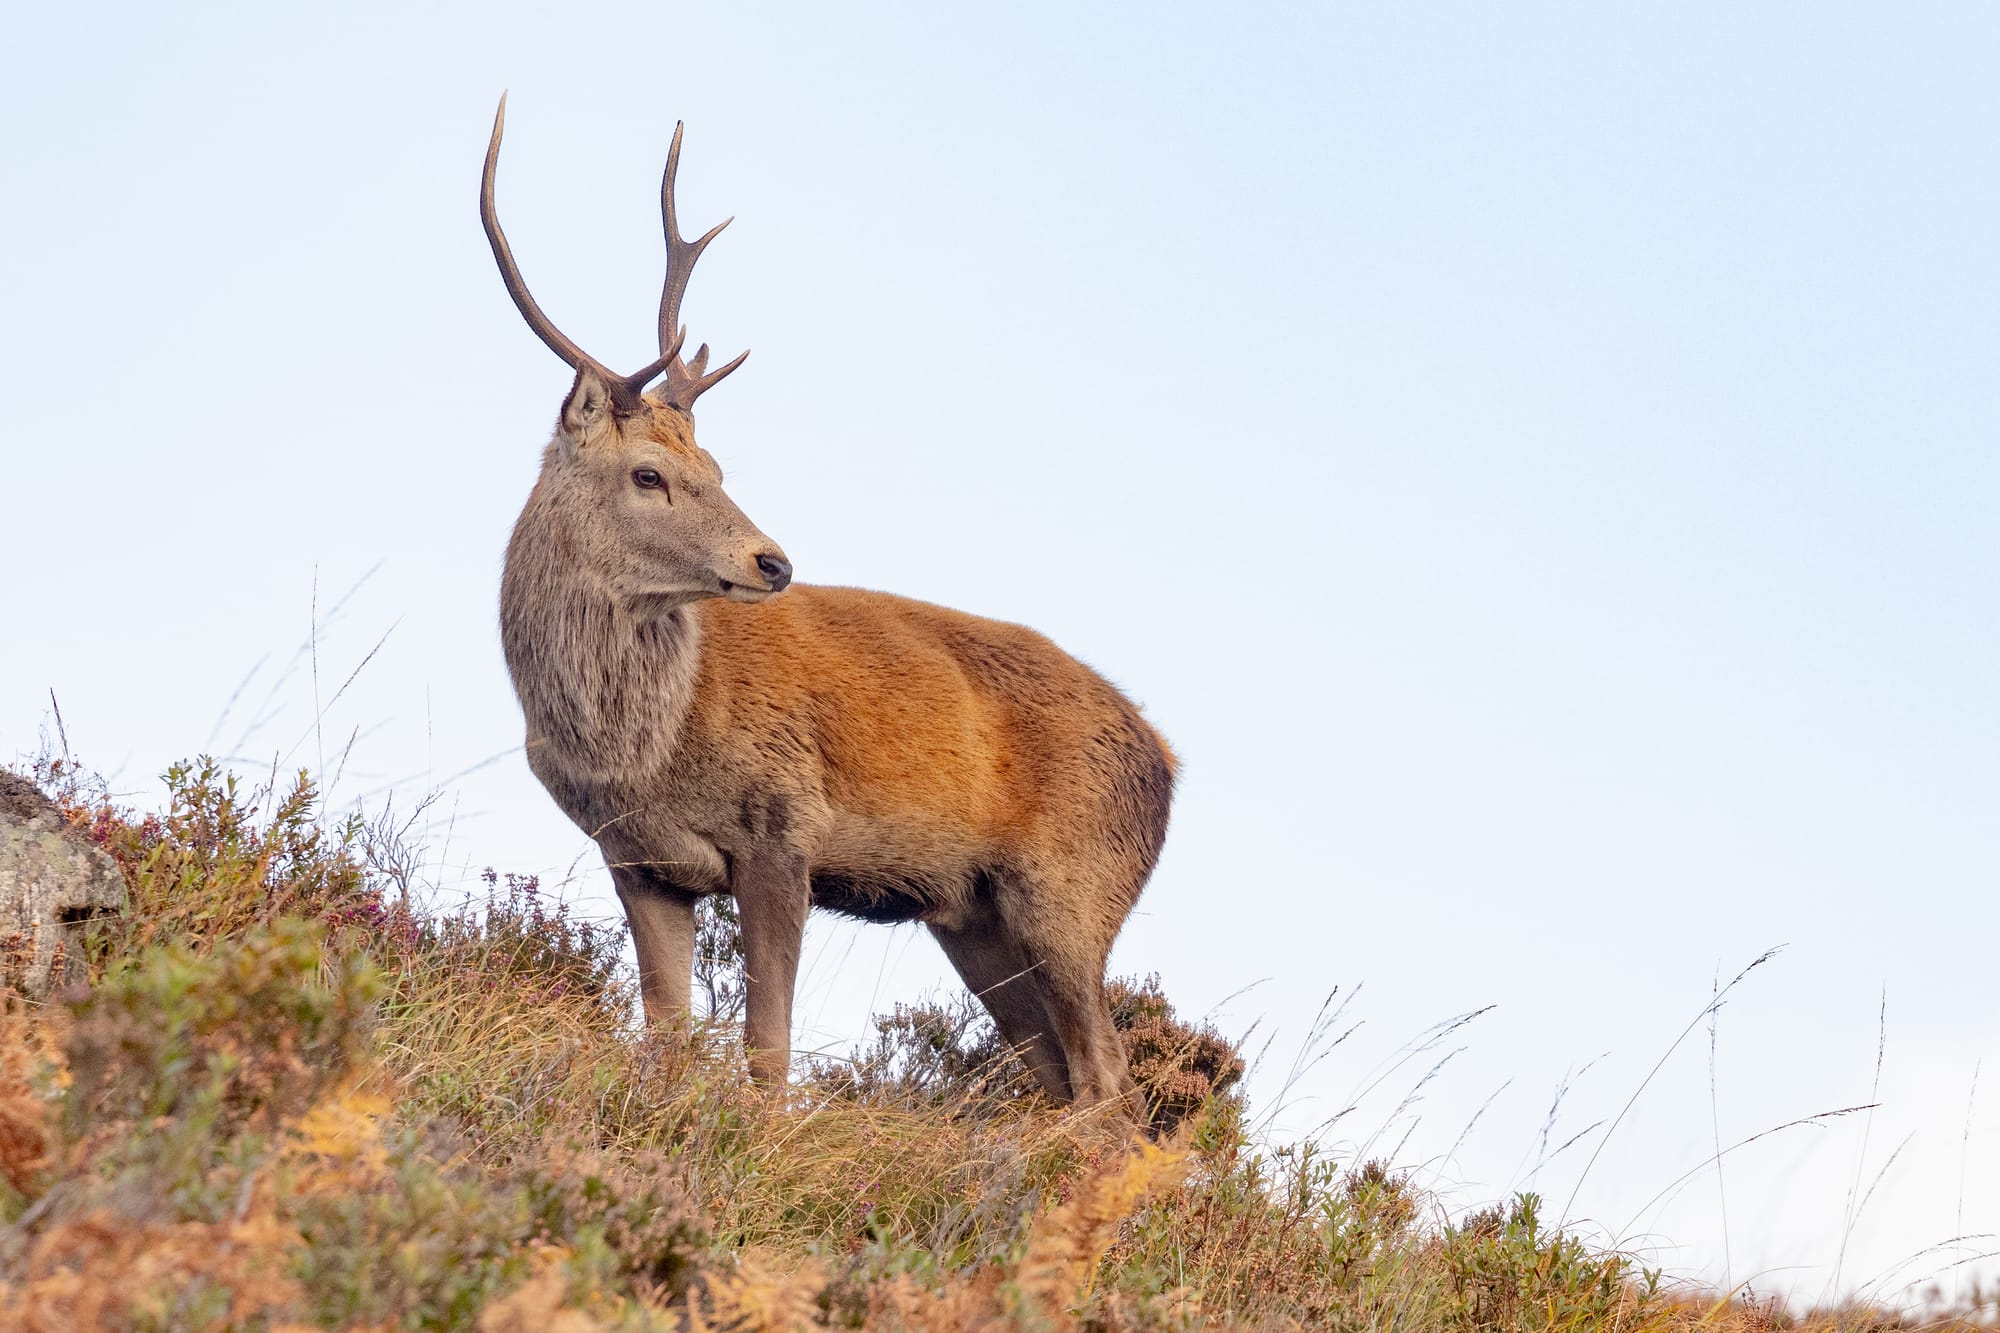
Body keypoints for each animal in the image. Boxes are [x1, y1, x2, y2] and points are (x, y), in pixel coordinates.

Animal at [482, 98, 1176, 1111]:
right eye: (650, 473)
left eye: (715, 465)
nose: (772, 561)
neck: (634, 746)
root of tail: (1168, 762)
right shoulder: (639, 861)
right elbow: (667, 1038)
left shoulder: (785, 827)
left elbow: (766, 1047)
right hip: (975, 919)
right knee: (1064, 1081)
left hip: (1073, 889)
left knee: (1110, 1083)